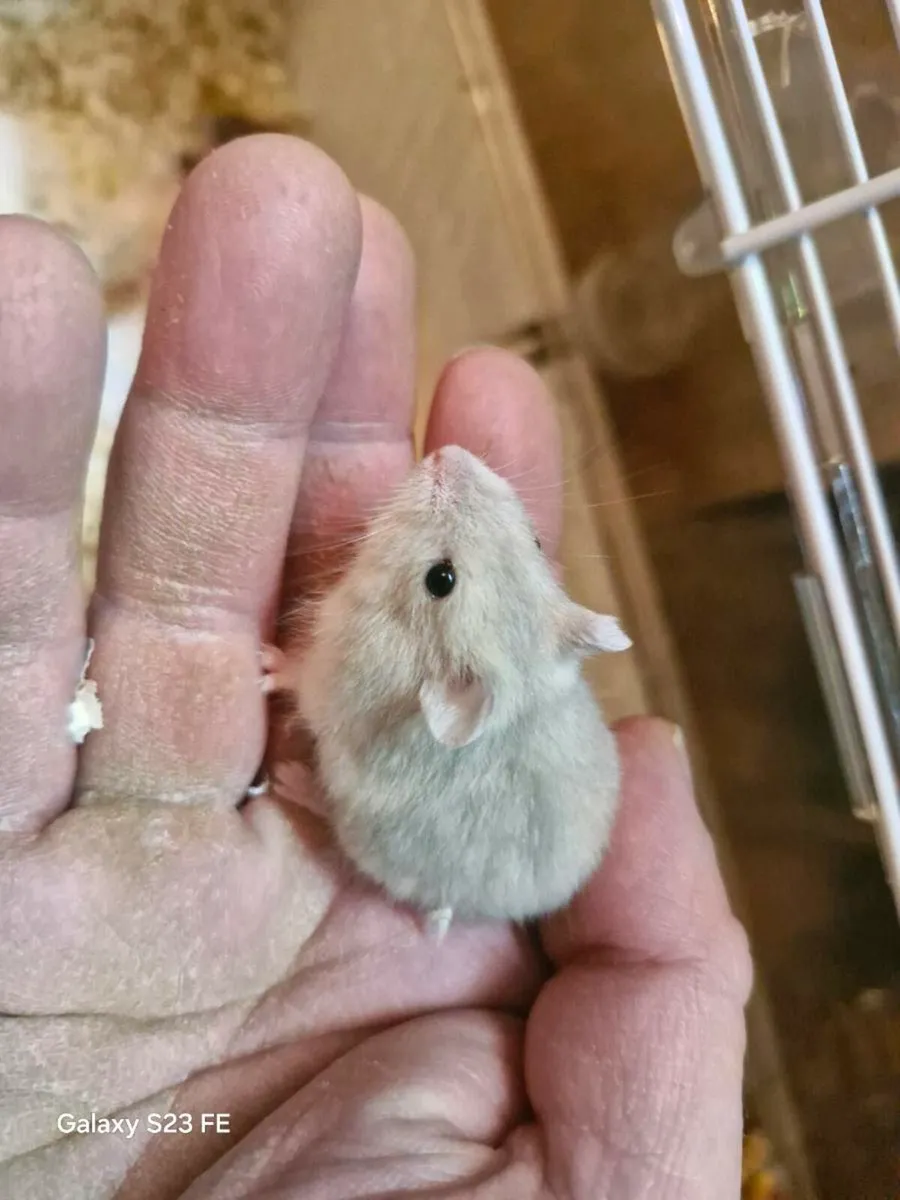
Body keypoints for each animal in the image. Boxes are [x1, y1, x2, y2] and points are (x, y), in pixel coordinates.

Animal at [264, 445, 631, 935]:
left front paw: (265, 663)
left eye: (441, 579)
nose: (446, 453)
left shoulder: (327, 676)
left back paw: (291, 780)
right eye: (536, 541)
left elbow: (296, 677)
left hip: (359, 836)